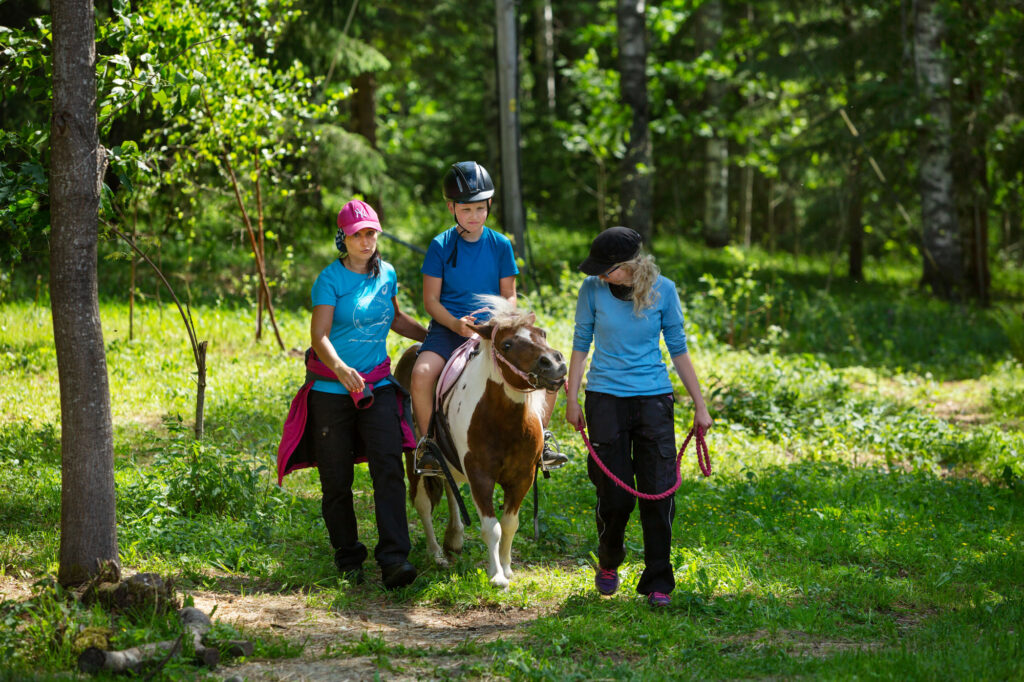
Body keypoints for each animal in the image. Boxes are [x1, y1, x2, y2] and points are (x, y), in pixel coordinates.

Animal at [393, 294, 569, 585]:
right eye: (507, 345)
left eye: (542, 334)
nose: (555, 364)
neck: (504, 421)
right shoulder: (480, 475)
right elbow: (491, 527)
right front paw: (496, 576)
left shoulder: (523, 476)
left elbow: (510, 524)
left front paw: (507, 568)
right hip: (414, 460)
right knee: (422, 503)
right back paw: (436, 553)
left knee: (449, 485)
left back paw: (454, 538)